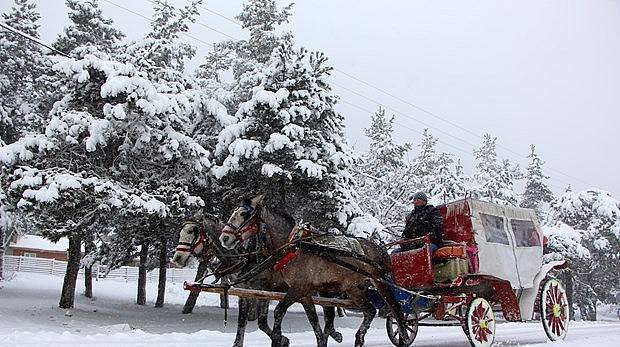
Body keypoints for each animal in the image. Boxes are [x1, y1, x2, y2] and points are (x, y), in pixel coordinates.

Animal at [171, 211, 344, 346]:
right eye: (181, 232)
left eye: (192, 231)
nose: (177, 258)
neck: (245, 255)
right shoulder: (244, 292)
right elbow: (242, 322)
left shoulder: (263, 290)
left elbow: (261, 323)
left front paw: (282, 340)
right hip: (304, 291)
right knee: (317, 317)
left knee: (327, 312)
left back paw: (334, 333)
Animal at [220, 196, 410, 347]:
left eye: (244, 215)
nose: (224, 238)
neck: (295, 246)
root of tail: (381, 250)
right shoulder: (304, 292)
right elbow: (313, 320)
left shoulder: (298, 287)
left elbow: (279, 311)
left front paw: (279, 339)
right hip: (352, 288)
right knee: (370, 311)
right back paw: (359, 339)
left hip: (380, 281)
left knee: (396, 309)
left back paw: (404, 337)